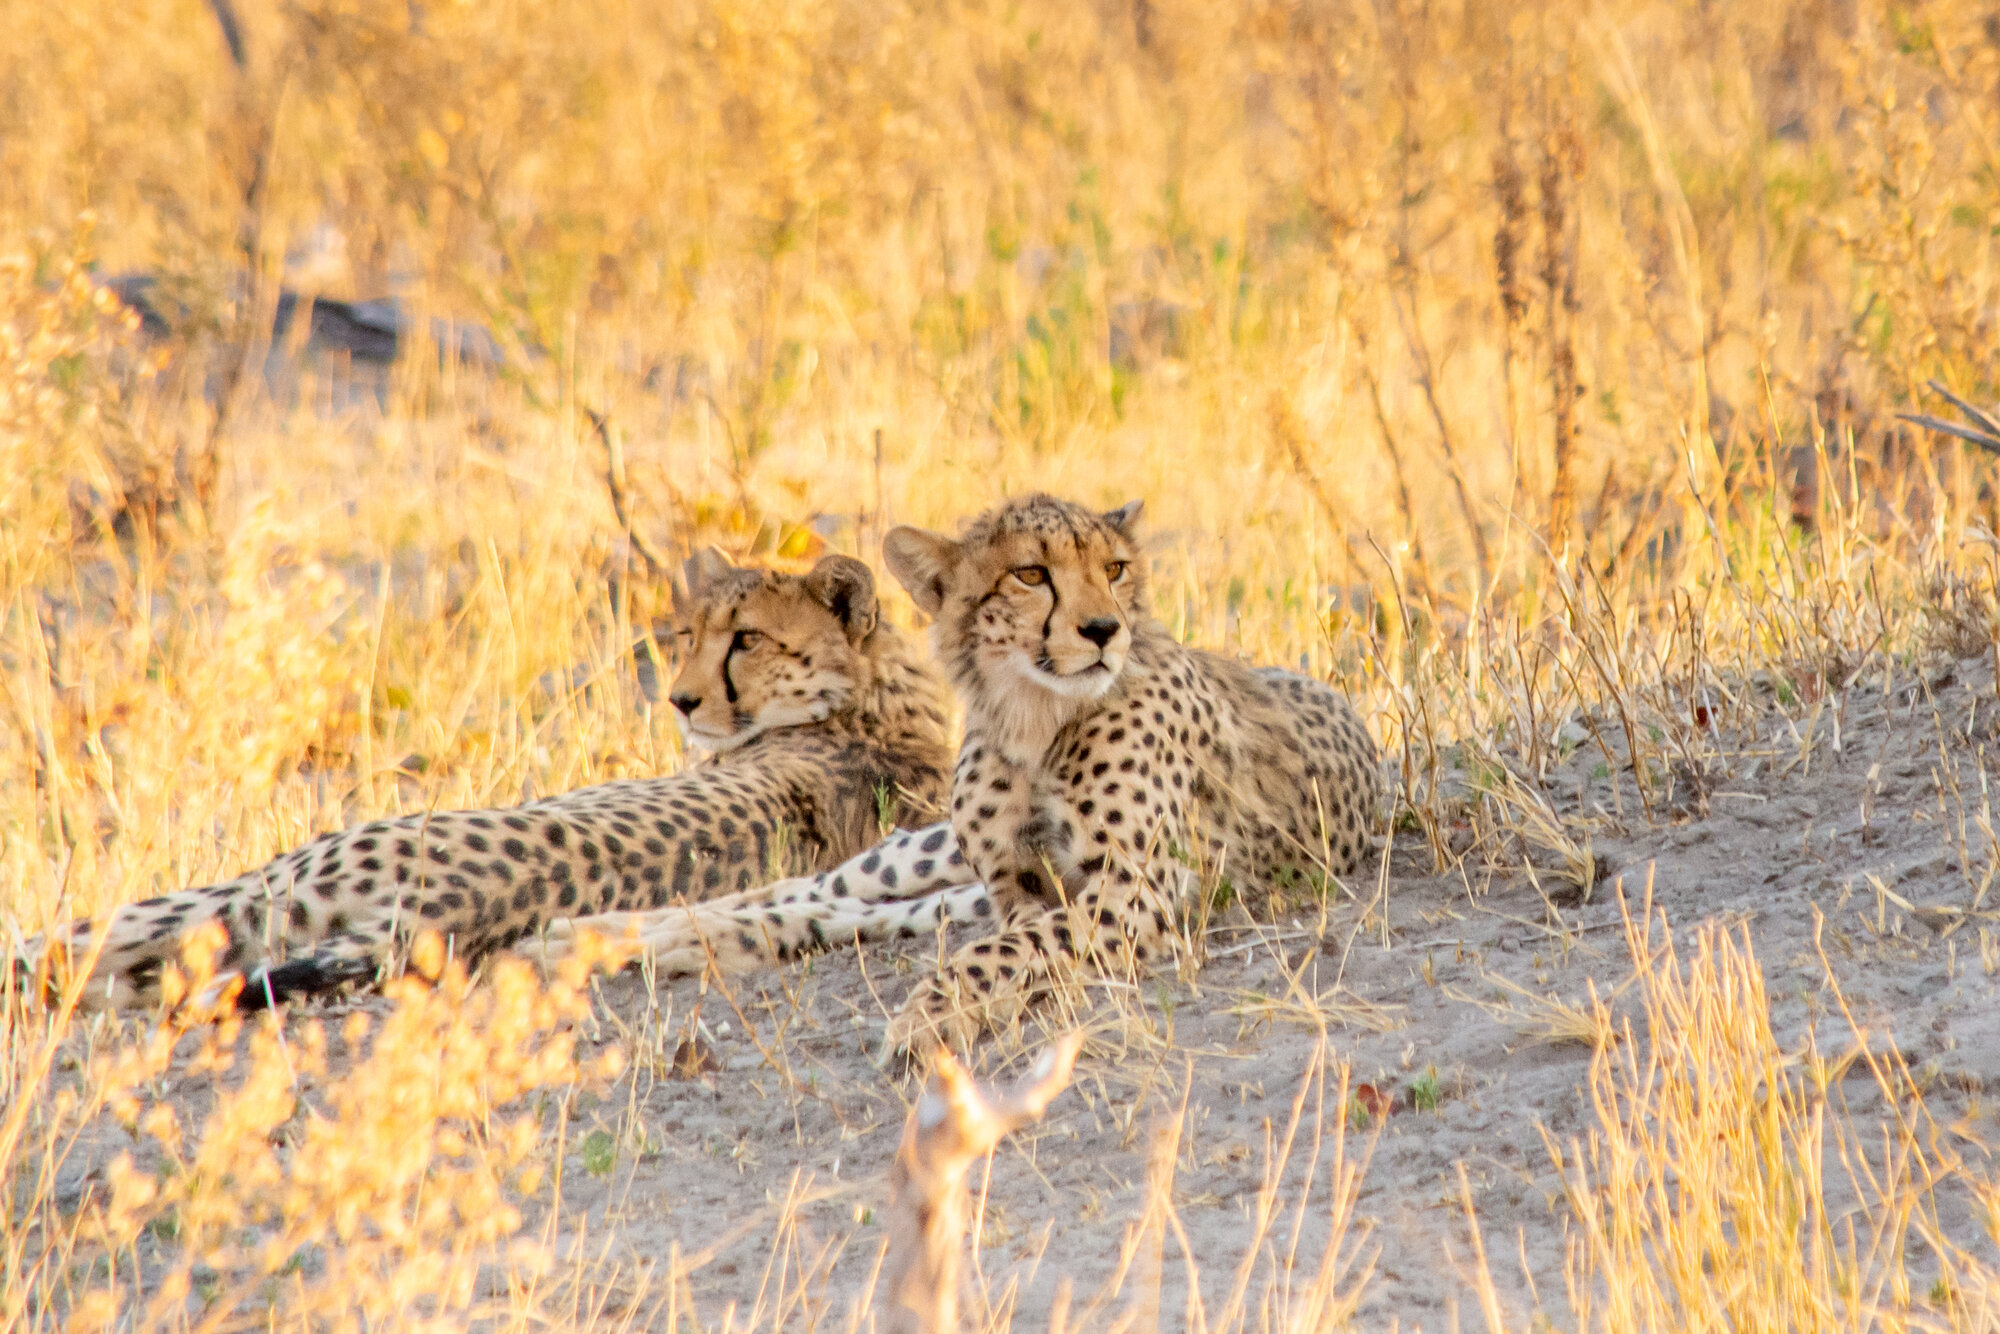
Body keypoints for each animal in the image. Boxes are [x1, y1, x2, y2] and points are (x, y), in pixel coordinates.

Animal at [18, 548, 955, 1011]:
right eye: (689, 632)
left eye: (749, 638)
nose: (682, 700)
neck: (863, 701)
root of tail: (450, 910)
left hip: (252, 890)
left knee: (71, 947)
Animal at [534, 493, 1381, 1061]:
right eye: (1031, 574)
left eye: (1114, 569)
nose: (1104, 629)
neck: (1033, 712)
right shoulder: (1014, 886)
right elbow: (1008, 943)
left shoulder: (1133, 888)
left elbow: (998, 952)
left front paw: (926, 1020)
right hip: (926, 851)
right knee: (811, 889)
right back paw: (599, 935)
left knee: (835, 912)